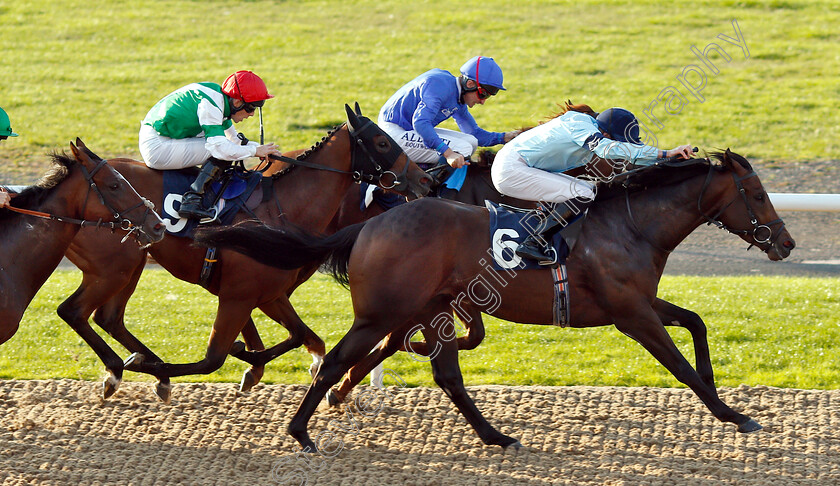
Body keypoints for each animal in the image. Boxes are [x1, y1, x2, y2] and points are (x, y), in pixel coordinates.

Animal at [57, 104, 434, 400]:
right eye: (383, 142)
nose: (424, 181)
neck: (283, 209)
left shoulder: (270, 294)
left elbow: (302, 336)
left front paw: (253, 361)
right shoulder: (238, 296)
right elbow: (214, 359)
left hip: (131, 264)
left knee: (108, 317)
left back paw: (133, 368)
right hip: (114, 268)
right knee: (75, 311)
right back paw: (129, 368)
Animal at [194, 150, 796, 450]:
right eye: (757, 193)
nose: (787, 243)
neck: (630, 224)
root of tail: (369, 224)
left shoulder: (637, 304)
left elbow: (695, 324)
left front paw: (725, 396)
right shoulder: (631, 315)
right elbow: (678, 365)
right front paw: (734, 415)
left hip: (432, 308)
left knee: (446, 375)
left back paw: (496, 435)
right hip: (384, 310)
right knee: (338, 359)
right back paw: (301, 432)